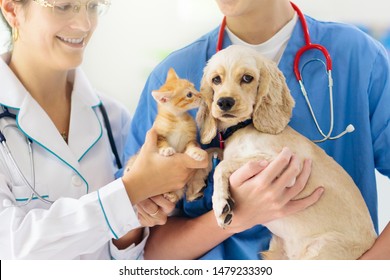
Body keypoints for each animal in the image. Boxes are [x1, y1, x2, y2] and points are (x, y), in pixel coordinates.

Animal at [197, 44, 376, 260]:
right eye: (216, 79)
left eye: (247, 78)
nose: (224, 102)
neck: (242, 128)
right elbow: (210, 153)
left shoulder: (280, 163)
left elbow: (222, 165)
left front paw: (220, 203)